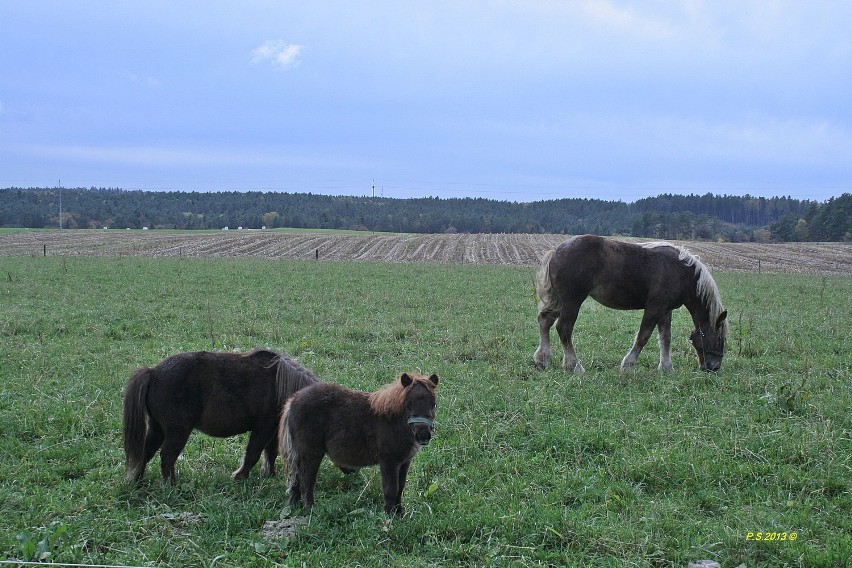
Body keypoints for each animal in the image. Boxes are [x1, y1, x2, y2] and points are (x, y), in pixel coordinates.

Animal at [121, 348, 318, 482]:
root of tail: (153, 372)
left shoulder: (272, 429)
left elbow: (270, 452)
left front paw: (269, 475)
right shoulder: (263, 428)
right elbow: (253, 453)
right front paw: (240, 476)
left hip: (158, 429)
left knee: (145, 452)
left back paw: (138, 480)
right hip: (177, 431)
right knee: (167, 456)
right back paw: (171, 485)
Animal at [280, 372, 440, 516]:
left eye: (433, 404)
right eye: (408, 405)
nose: (423, 436)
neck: (394, 421)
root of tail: (292, 401)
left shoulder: (404, 462)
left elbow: (400, 487)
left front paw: (399, 513)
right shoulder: (389, 461)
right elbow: (391, 489)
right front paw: (389, 516)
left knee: (296, 479)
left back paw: (293, 507)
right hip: (311, 454)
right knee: (306, 480)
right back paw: (310, 510)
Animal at [532, 234, 724, 372]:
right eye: (719, 339)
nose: (713, 368)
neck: (680, 271)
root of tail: (555, 251)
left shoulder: (665, 310)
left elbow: (665, 338)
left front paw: (666, 367)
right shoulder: (654, 308)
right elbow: (643, 336)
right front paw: (628, 365)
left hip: (560, 302)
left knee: (545, 321)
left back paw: (542, 359)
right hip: (572, 302)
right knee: (563, 328)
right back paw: (574, 366)